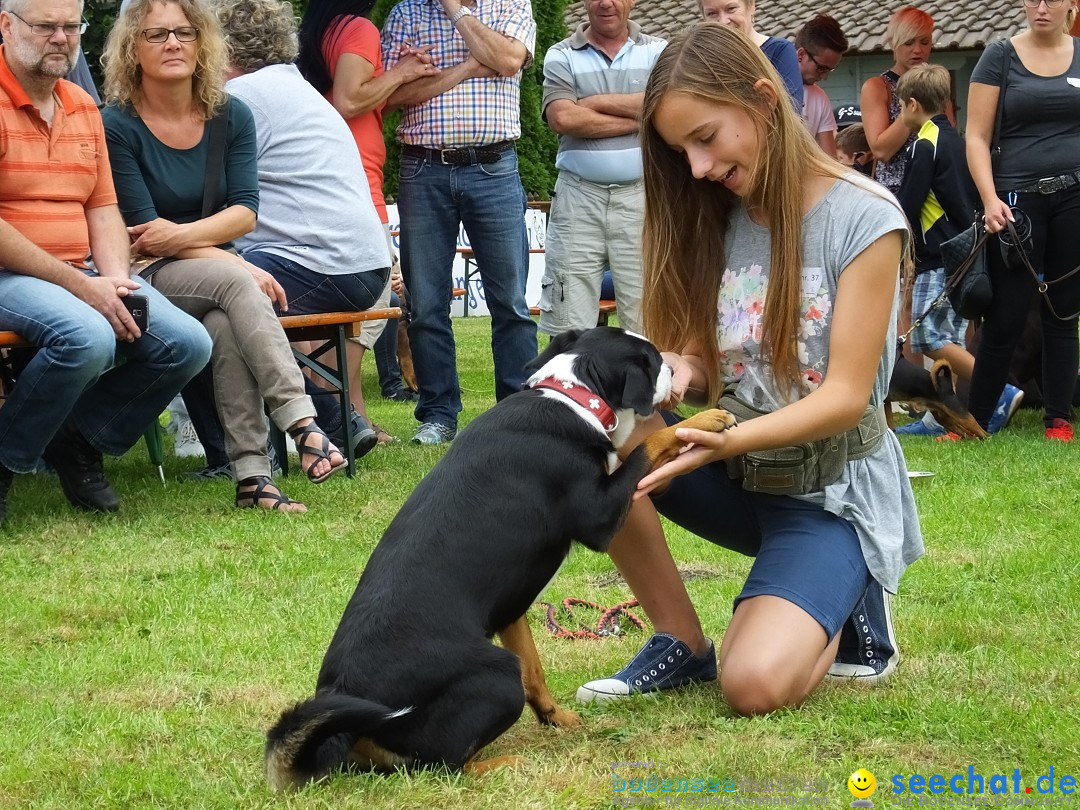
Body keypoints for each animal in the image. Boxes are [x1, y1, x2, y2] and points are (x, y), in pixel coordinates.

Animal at [264, 326, 734, 790]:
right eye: (653, 363)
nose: (673, 366)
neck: (573, 397)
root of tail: (352, 725)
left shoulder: (511, 607)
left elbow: (535, 671)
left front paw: (558, 718)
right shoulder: (602, 513)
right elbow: (646, 446)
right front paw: (704, 421)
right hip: (496, 677)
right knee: (445, 764)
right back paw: (504, 763)